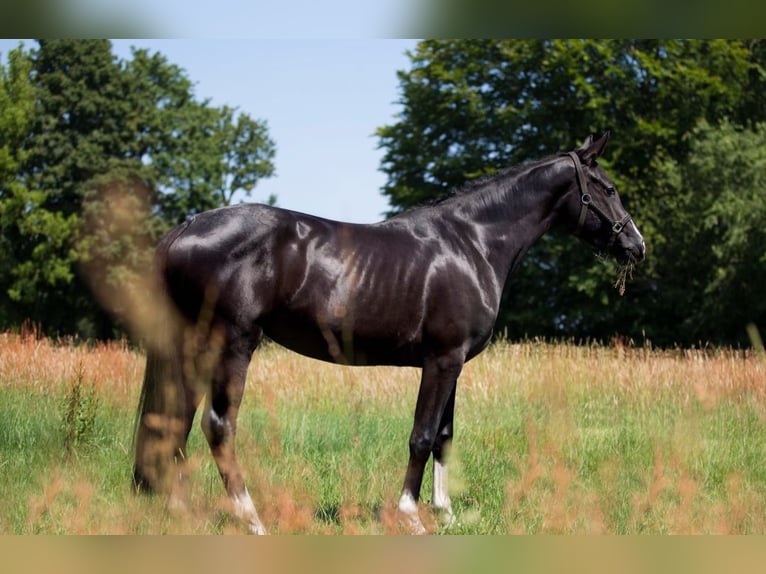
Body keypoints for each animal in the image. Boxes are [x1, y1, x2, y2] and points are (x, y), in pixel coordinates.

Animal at [134, 134, 648, 536]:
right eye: (607, 188)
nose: (637, 245)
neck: (473, 243)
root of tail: (187, 228)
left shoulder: (453, 363)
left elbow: (444, 435)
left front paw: (447, 515)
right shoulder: (441, 361)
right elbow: (421, 435)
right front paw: (411, 515)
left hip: (191, 348)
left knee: (174, 421)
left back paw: (181, 513)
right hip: (233, 342)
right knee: (218, 425)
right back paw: (252, 519)